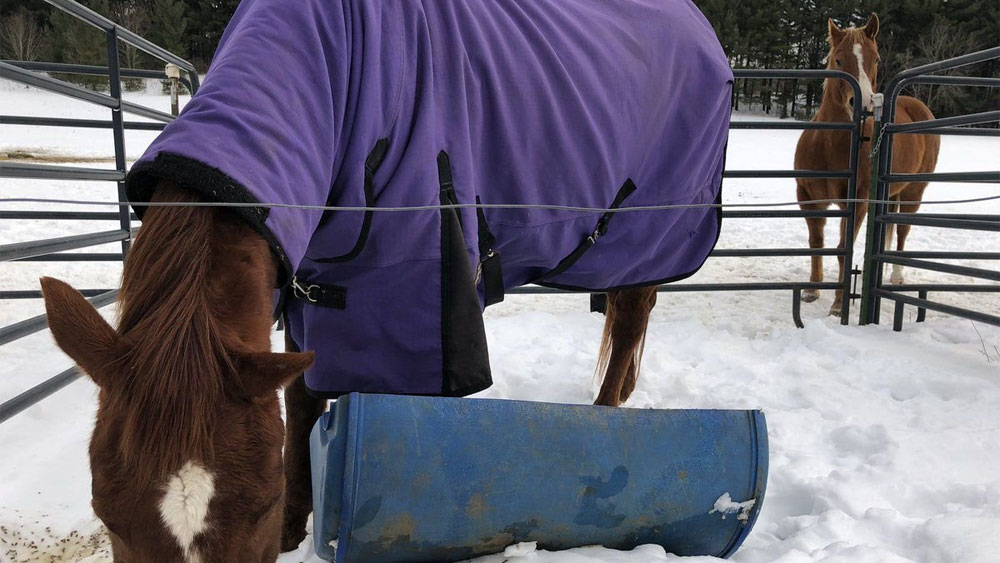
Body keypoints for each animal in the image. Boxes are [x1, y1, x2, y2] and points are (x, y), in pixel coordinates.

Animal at [39, 0, 732, 560]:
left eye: (257, 504)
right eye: (107, 513)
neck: (341, 77)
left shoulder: (417, 307)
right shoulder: (309, 294)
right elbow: (301, 400)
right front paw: (297, 529)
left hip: (646, 231)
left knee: (630, 323)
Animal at [794, 13, 940, 316]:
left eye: (876, 59)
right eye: (838, 59)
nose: (862, 103)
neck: (831, 145)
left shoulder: (857, 202)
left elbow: (843, 249)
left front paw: (838, 305)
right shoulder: (808, 197)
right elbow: (817, 243)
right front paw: (812, 290)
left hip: (914, 192)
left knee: (902, 232)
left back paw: (896, 276)